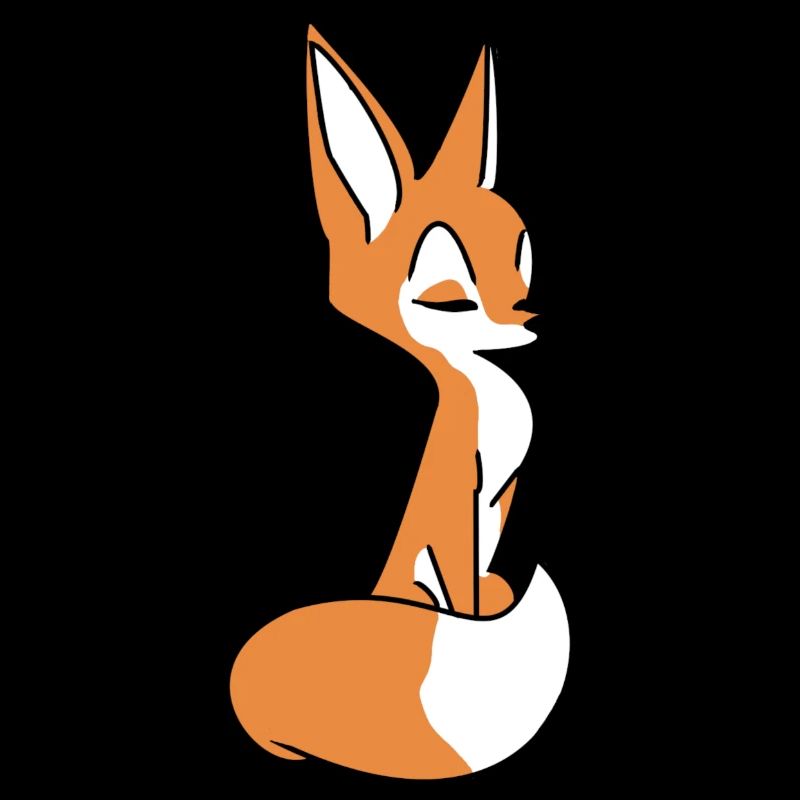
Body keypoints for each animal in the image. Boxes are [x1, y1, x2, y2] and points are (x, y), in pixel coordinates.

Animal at [229, 26, 570, 779]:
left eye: (523, 257)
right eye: (449, 296)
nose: (528, 315)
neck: (486, 394)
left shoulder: (505, 491)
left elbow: (484, 572)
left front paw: (491, 596)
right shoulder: (461, 494)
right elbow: (463, 584)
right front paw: (477, 612)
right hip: (411, 581)